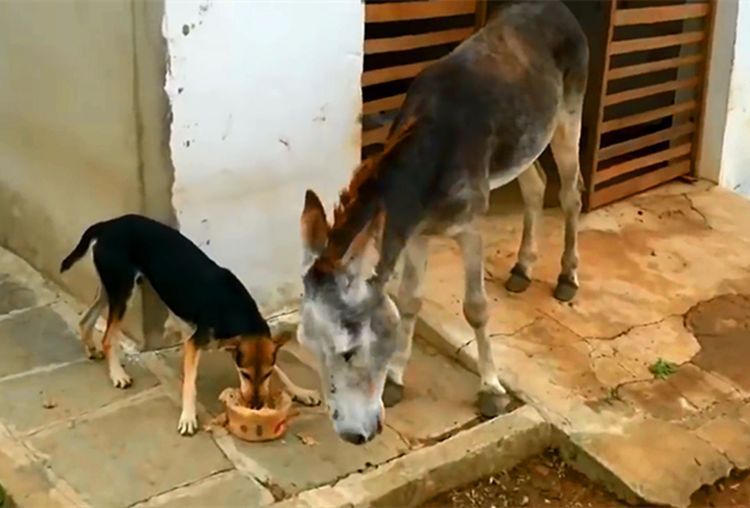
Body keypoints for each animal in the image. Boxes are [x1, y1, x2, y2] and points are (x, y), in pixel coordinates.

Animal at [61, 212, 320, 434]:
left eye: (266, 374)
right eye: (245, 375)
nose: (256, 407)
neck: (237, 310)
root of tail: (107, 224)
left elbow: (282, 371)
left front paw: (300, 391)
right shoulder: (194, 343)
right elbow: (190, 385)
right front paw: (187, 417)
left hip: (112, 289)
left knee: (86, 318)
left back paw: (91, 348)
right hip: (123, 291)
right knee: (107, 337)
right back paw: (117, 374)